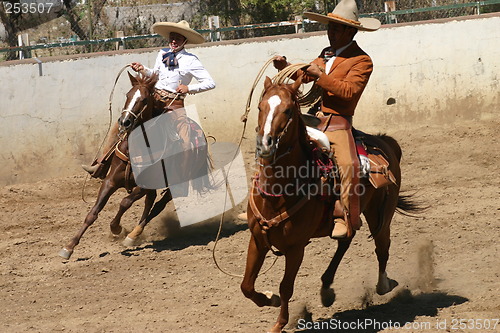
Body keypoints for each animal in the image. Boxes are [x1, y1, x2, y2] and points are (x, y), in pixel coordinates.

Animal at [240, 76, 416, 330]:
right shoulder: (257, 239)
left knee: (382, 246)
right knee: (347, 238)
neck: (277, 193)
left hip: (381, 213)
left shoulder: (296, 248)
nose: (265, 144)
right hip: (351, 213)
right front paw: (269, 299)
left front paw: (279, 324)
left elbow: (286, 287)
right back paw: (326, 289)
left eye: (288, 110)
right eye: (260, 107)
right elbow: (246, 285)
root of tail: (385, 141)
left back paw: (383, 285)